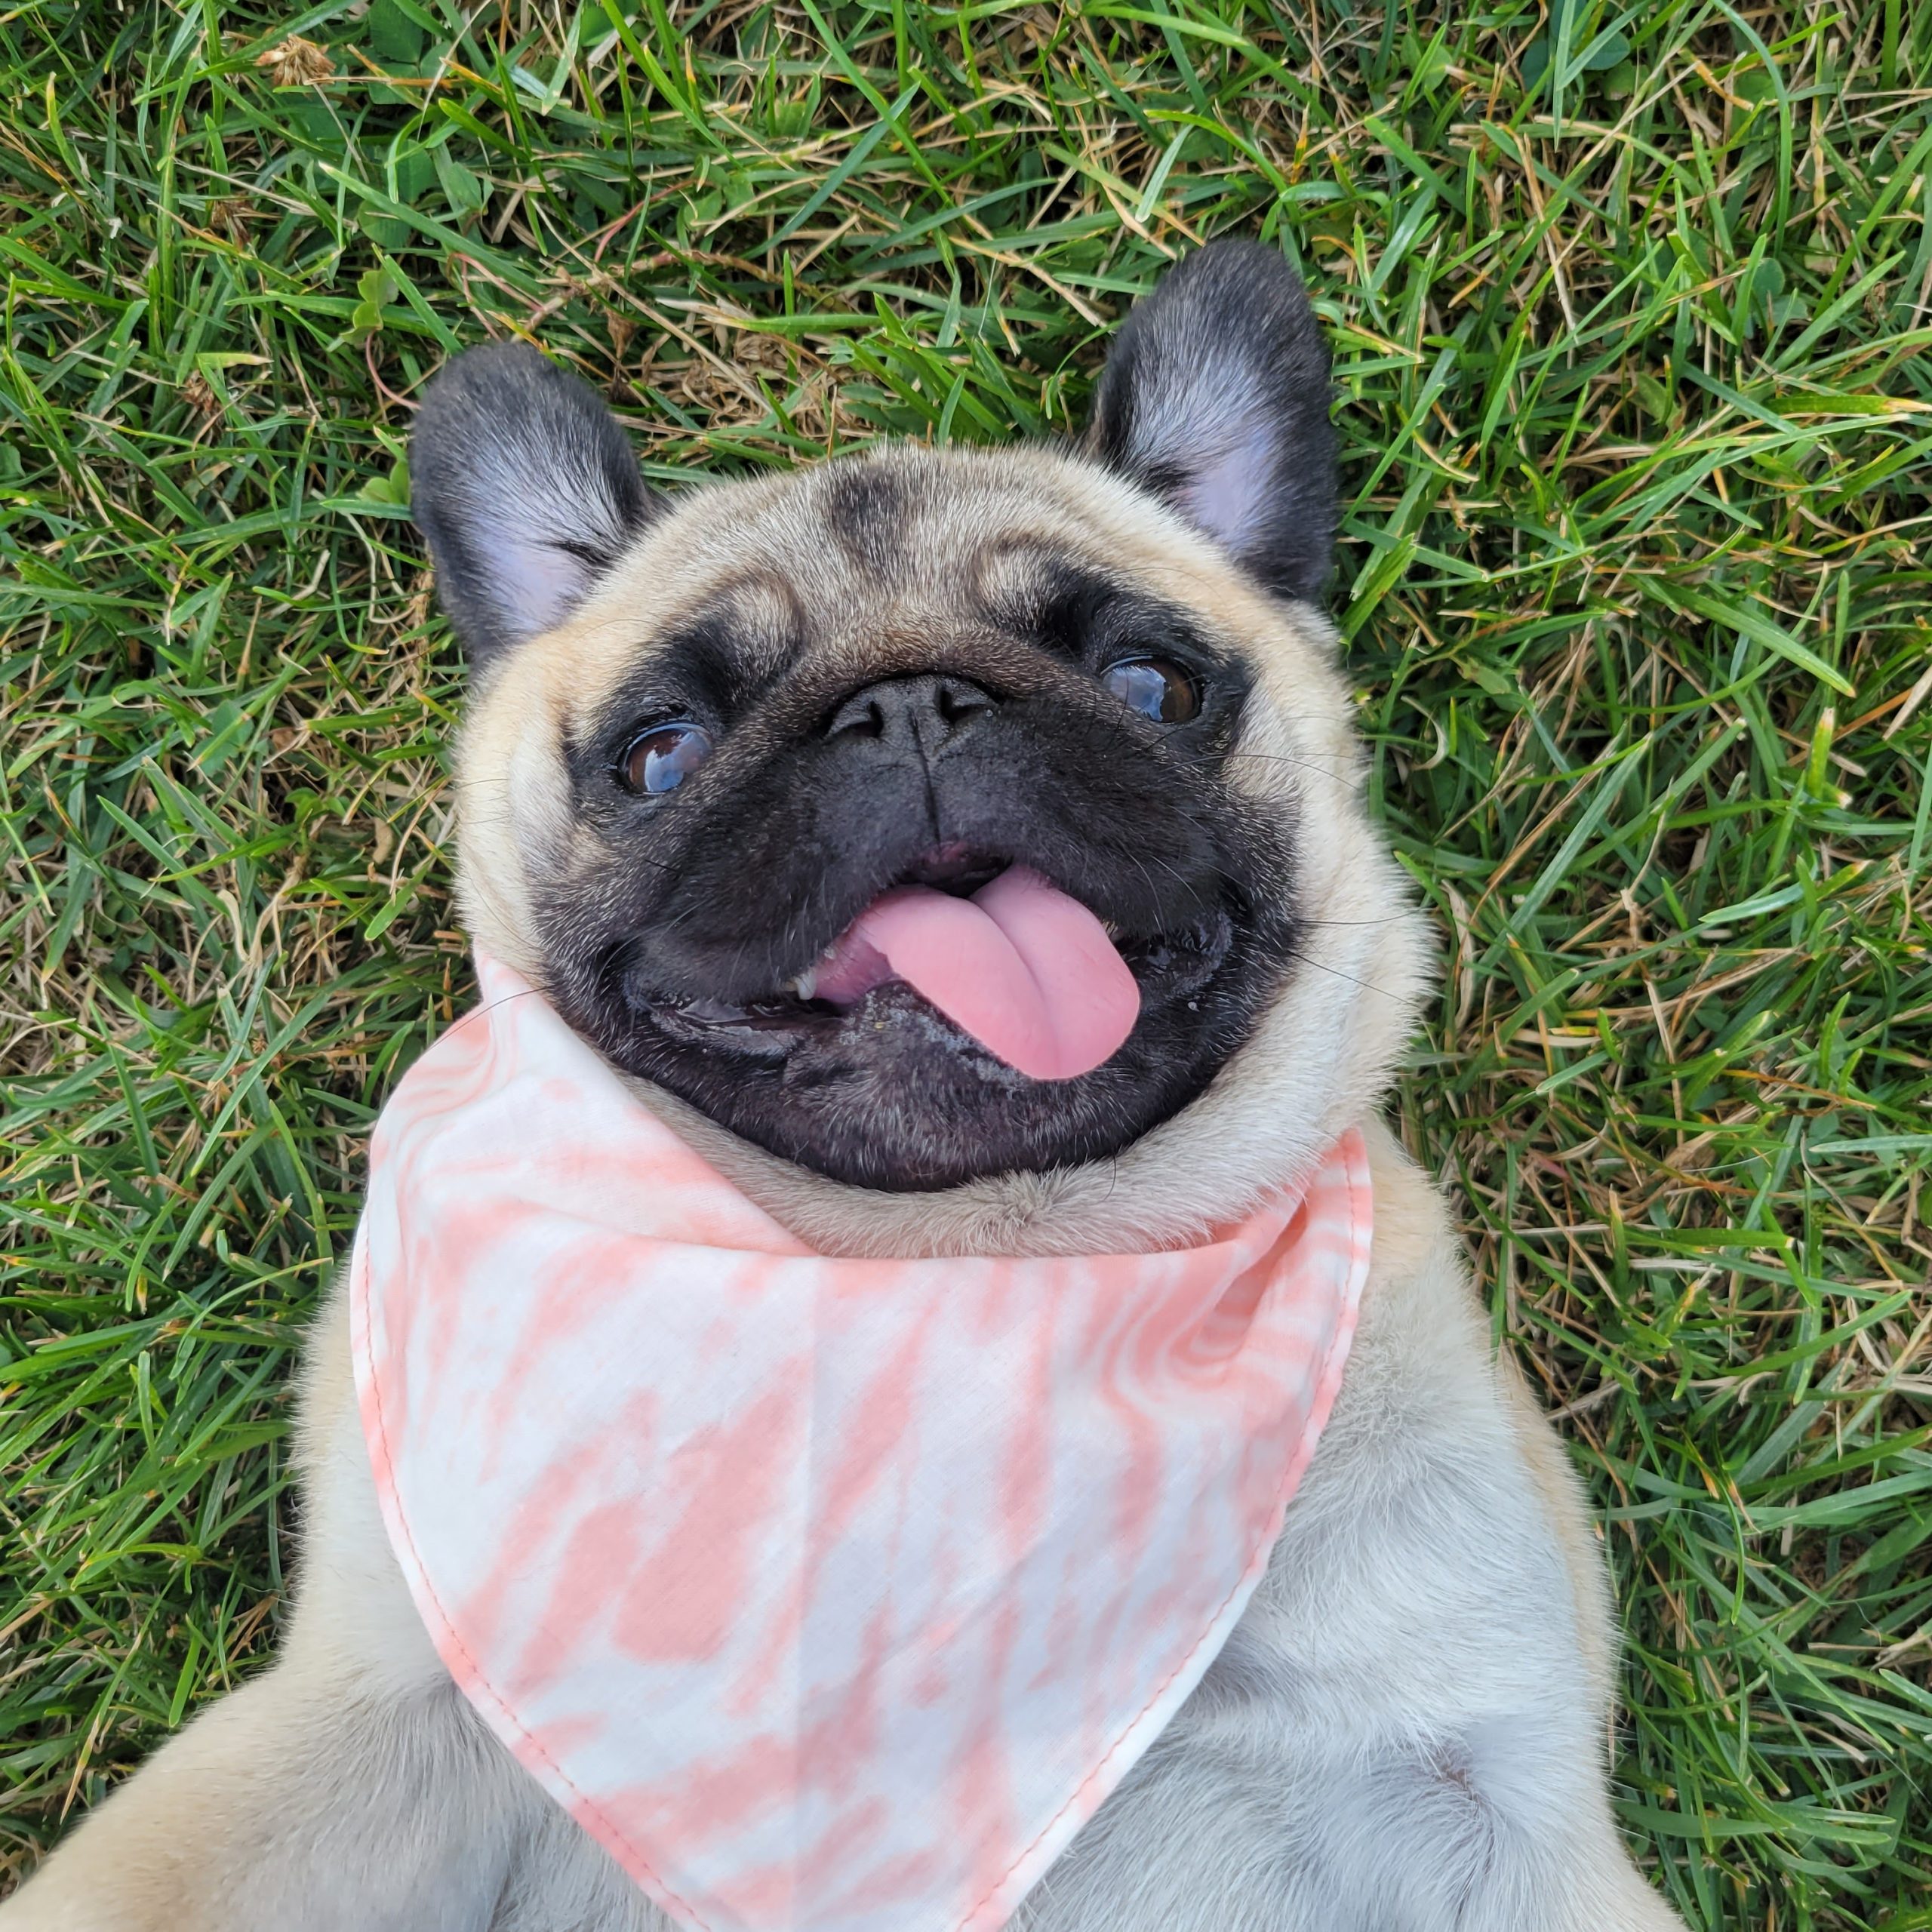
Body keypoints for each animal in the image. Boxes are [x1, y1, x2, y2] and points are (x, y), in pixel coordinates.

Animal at [4, 242, 1686, 1931]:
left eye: (1150, 684)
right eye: (662, 753)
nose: (910, 709)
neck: (957, 1261)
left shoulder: (1500, 1807)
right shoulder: (360, 1722)